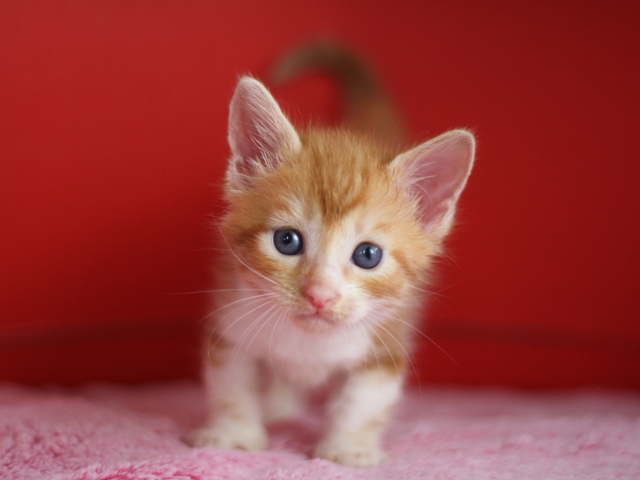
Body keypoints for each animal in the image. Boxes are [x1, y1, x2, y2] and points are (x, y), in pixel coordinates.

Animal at [188, 44, 472, 464]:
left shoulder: (387, 337)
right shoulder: (233, 315)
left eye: (368, 254)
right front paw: (233, 433)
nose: (319, 295)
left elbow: (364, 400)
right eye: (287, 241)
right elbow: (231, 384)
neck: (311, 343)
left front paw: (348, 448)